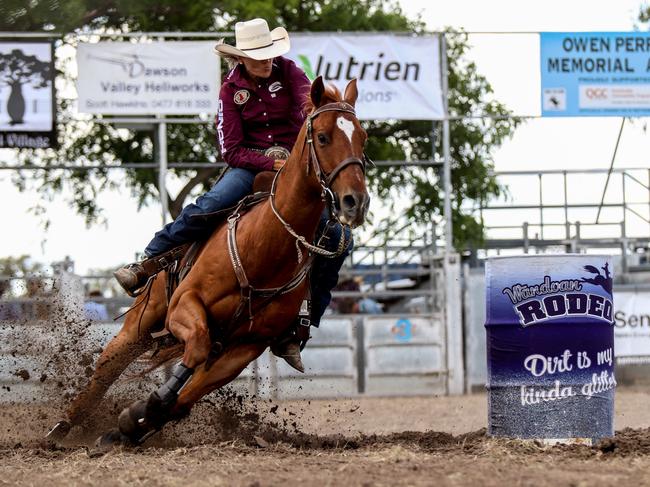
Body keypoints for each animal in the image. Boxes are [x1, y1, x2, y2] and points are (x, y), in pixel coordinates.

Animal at [48, 78, 368, 448]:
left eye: (363, 138)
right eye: (324, 137)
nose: (356, 202)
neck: (265, 244)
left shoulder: (247, 346)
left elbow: (188, 394)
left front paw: (135, 421)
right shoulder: (184, 306)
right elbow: (196, 347)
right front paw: (146, 409)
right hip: (143, 320)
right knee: (106, 368)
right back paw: (62, 426)